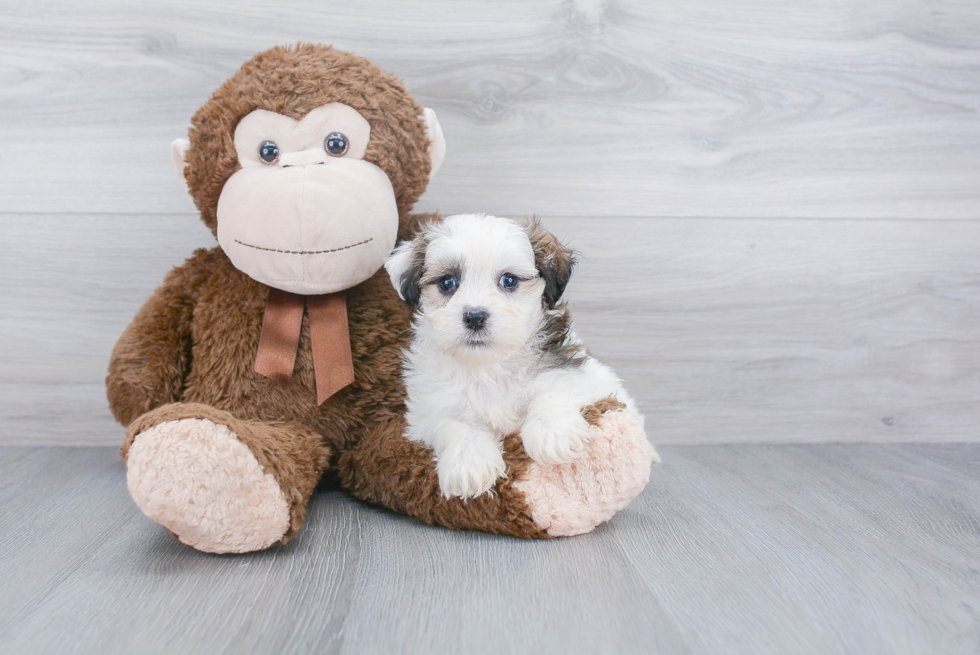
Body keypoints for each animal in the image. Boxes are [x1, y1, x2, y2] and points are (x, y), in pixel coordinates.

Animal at [384, 213, 660, 500]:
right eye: (447, 282)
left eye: (509, 280)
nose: (475, 316)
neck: (490, 365)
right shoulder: (428, 412)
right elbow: (455, 424)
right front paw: (468, 462)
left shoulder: (584, 377)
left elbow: (554, 389)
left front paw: (552, 432)